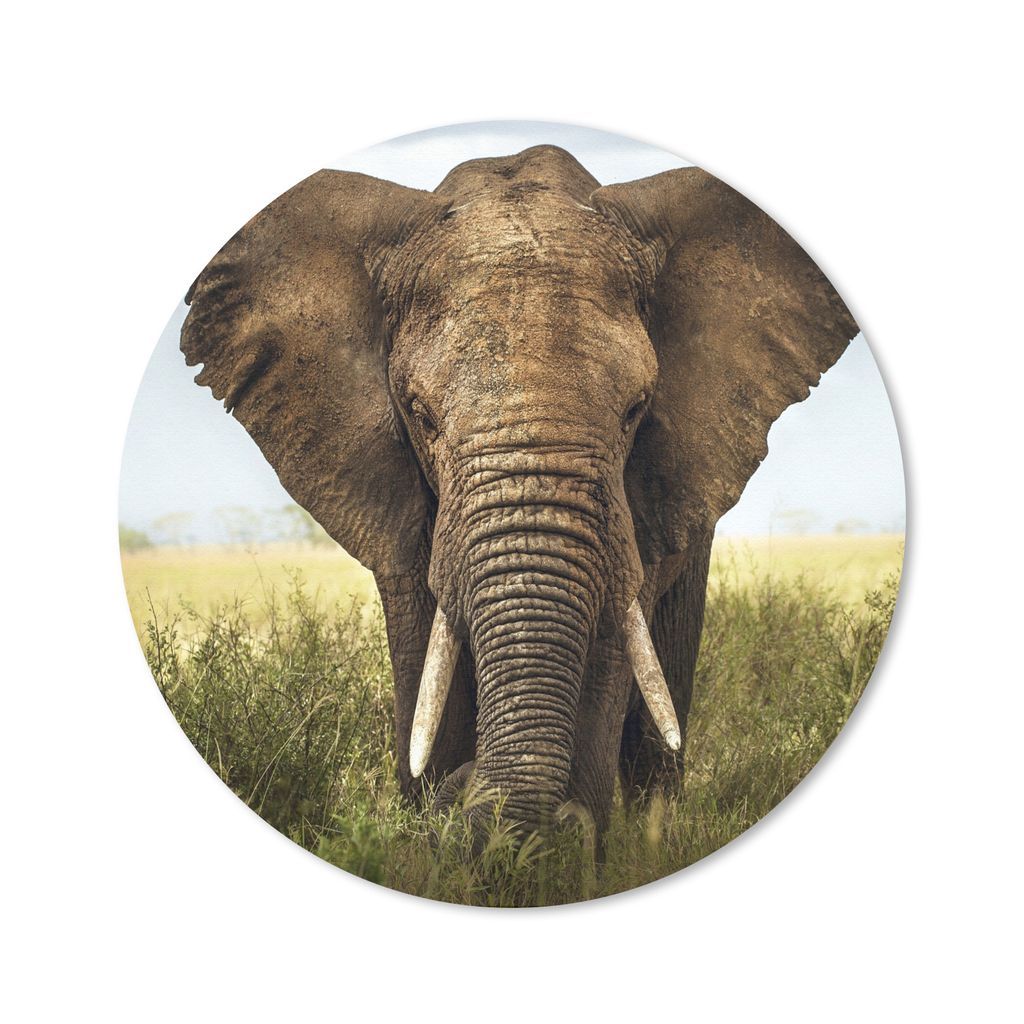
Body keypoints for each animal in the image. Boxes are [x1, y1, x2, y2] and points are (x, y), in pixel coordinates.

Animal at [181, 145, 856, 844]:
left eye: (635, 410)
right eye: (420, 414)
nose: (466, 792)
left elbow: (611, 644)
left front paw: (561, 847)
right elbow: (426, 657)